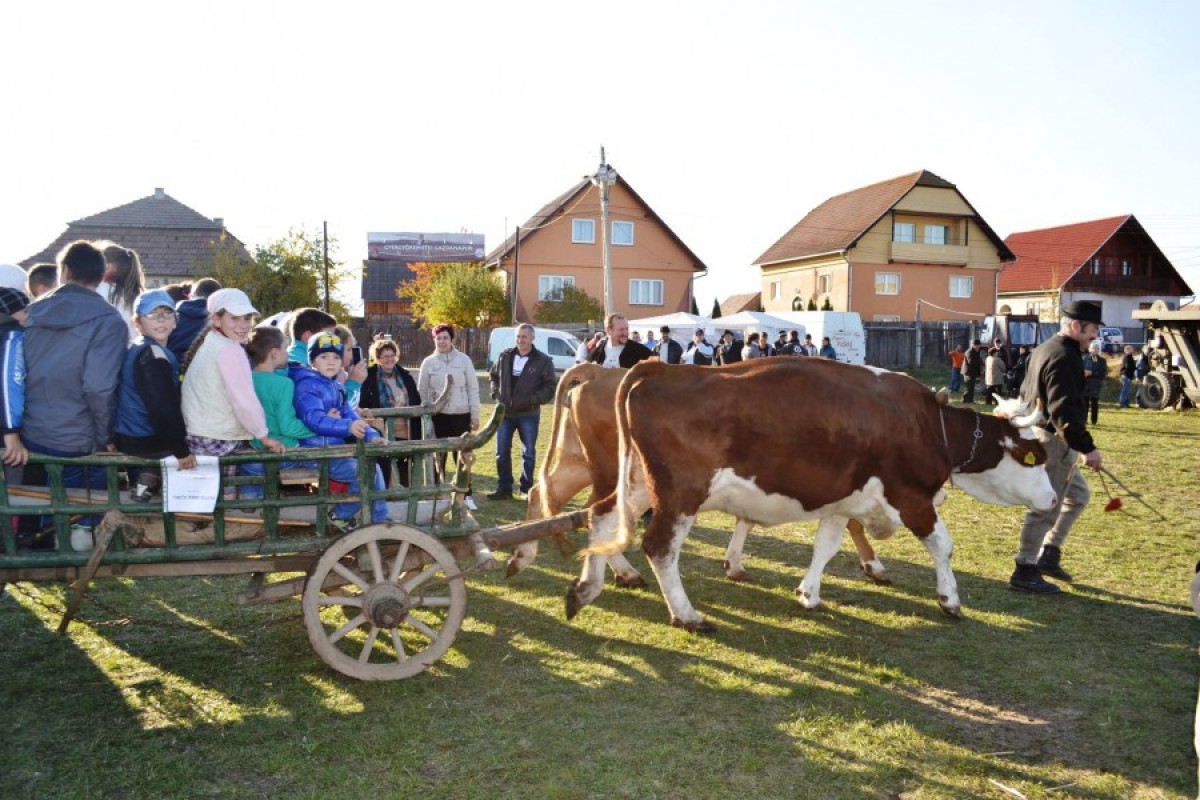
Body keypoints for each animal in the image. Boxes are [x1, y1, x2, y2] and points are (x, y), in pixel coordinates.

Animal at [506, 364, 892, 587]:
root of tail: (597, 370)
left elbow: (746, 518)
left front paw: (733, 564)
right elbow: (852, 521)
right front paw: (874, 564)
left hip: (580, 462)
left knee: (546, 493)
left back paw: (523, 557)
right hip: (612, 469)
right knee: (596, 512)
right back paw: (623, 571)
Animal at [568, 357, 1051, 633]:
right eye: (1034, 456)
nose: (1050, 500)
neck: (928, 425)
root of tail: (661, 367)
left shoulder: (844, 500)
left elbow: (826, 545)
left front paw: (808, 593)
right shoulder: (910, 497)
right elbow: (943, 546)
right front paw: (950, 600)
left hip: (635, 482)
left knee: (602, 516)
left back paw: (590, 587)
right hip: (680, 493)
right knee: (659, 546)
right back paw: (686, 615)